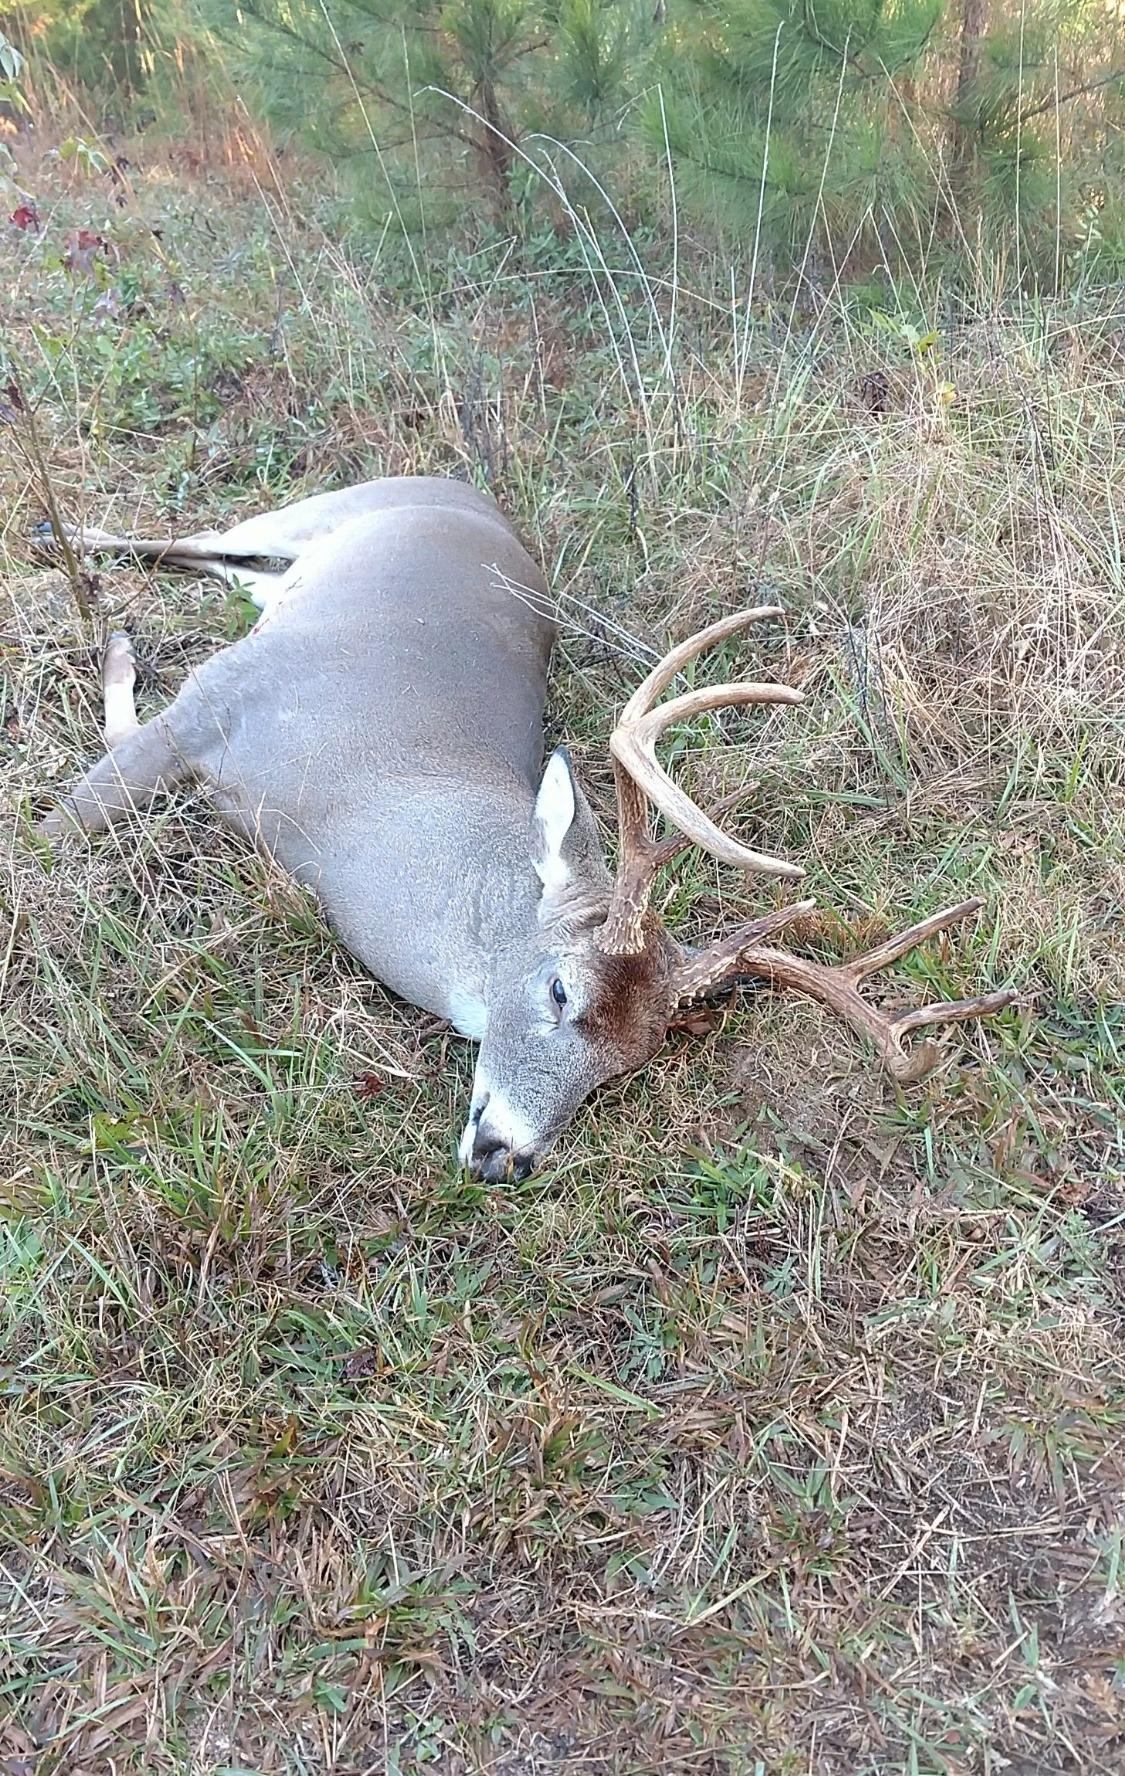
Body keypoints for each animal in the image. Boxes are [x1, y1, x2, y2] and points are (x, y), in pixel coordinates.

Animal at [42, 475, 1017, 1179]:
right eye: (558, 991)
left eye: (625, 1068)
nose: (507, 1157)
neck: (346, 803)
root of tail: (470, 494)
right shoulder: (213, 703)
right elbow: (65, 820)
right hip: (319, 510)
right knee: (196, 535)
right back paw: (71, 553)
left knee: (230, 567)